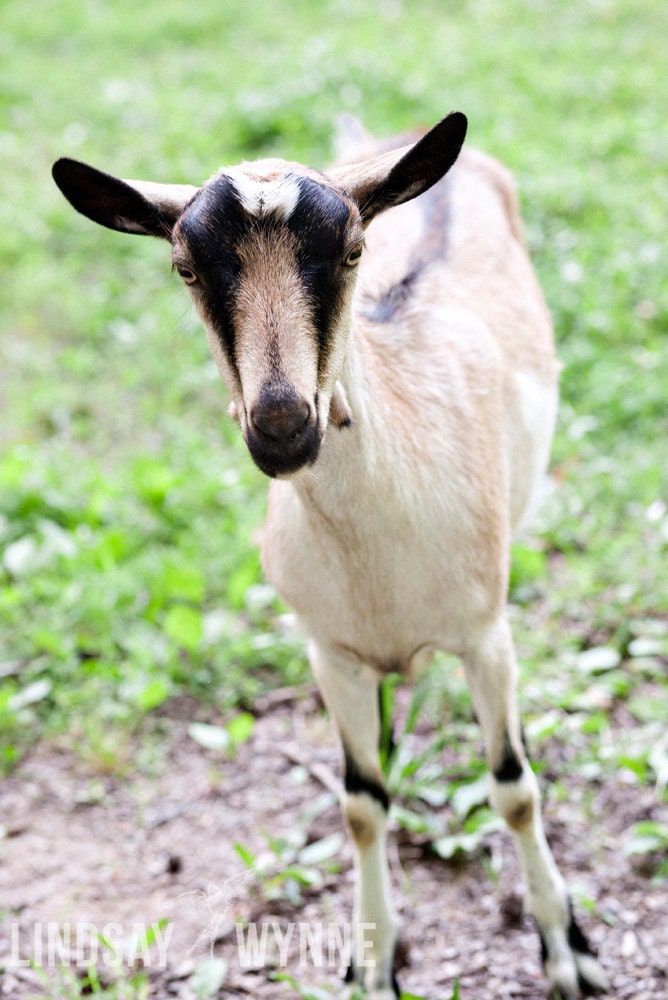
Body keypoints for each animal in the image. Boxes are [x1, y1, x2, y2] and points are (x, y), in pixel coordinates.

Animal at [52, 111, 608, 999]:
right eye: (184, 266)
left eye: (352, 250)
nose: (283, 426)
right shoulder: (329, 651)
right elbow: (360, 804)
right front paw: (372, 960)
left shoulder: (487, 637)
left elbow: (515, 789)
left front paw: (567, 948)